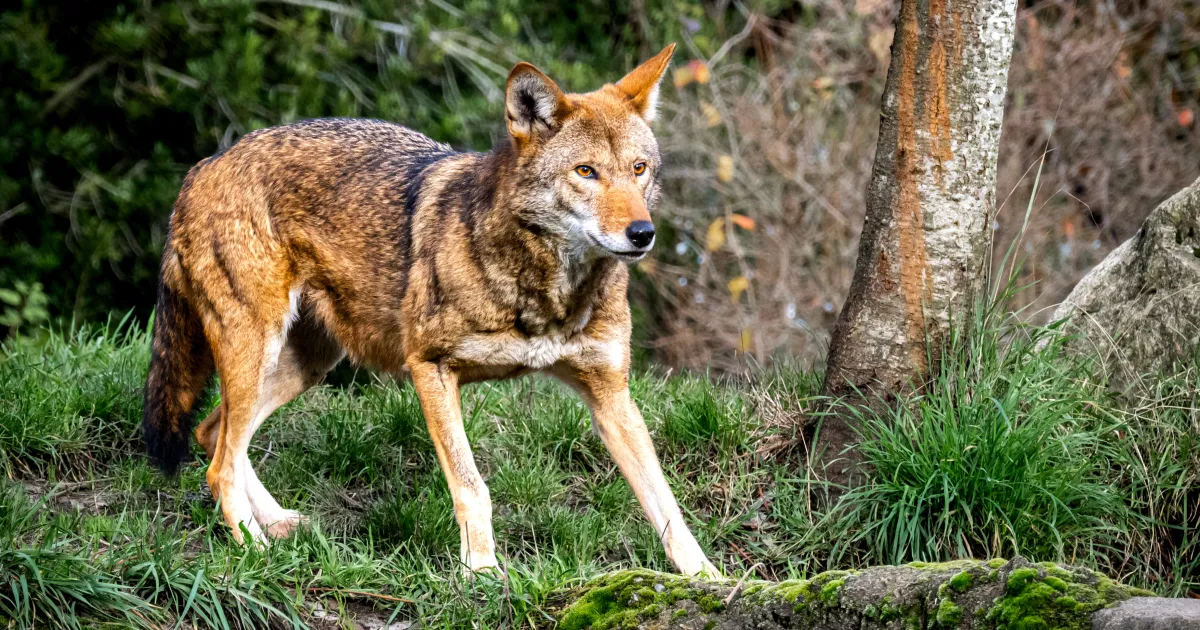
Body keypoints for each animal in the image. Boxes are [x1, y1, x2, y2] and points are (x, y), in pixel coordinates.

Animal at [145, 44, 715, 573]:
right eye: (586, 171)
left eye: (638, 169)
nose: (641, 233)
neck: (547, 294)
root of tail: (203, 167)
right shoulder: (430, 368)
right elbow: (472, 487)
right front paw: (481, 573)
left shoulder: (610, 394)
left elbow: (667, 504)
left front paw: (708, 578)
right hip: (258, 353)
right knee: (218, 462)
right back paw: (256, 550)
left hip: (305, 365)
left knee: (213, 435)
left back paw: (279, 523)